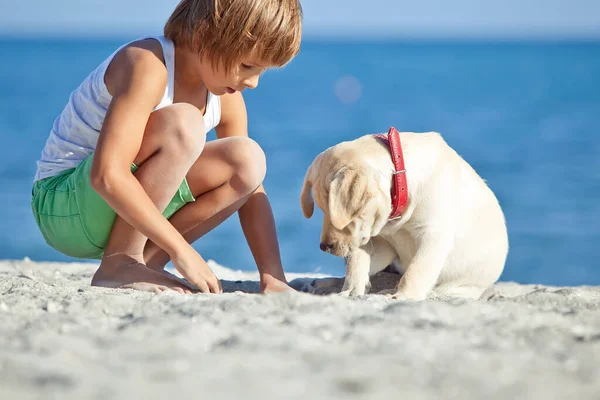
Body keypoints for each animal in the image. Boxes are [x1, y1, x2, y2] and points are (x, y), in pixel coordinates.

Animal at [298, 129, 506, 300]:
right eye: (322, 210)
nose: (324, 247)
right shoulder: (379, 243)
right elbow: (356, 262)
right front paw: (350, 289)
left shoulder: (433, 236)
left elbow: (416, 270)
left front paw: (404, 295)